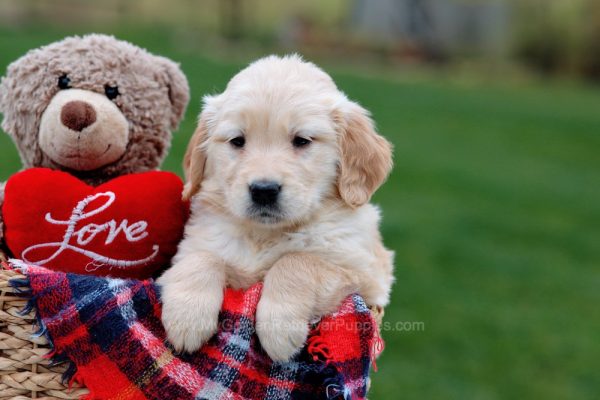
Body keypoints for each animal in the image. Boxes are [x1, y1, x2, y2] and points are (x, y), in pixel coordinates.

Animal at [157, 54, 396, 360]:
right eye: (237, 141)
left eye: (302, 140)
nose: (263, 190)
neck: (264, 234)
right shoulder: (196, 245)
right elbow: (202, 257)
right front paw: (187, 318)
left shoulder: (365, 274)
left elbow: (297, 261)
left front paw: (279, 327)